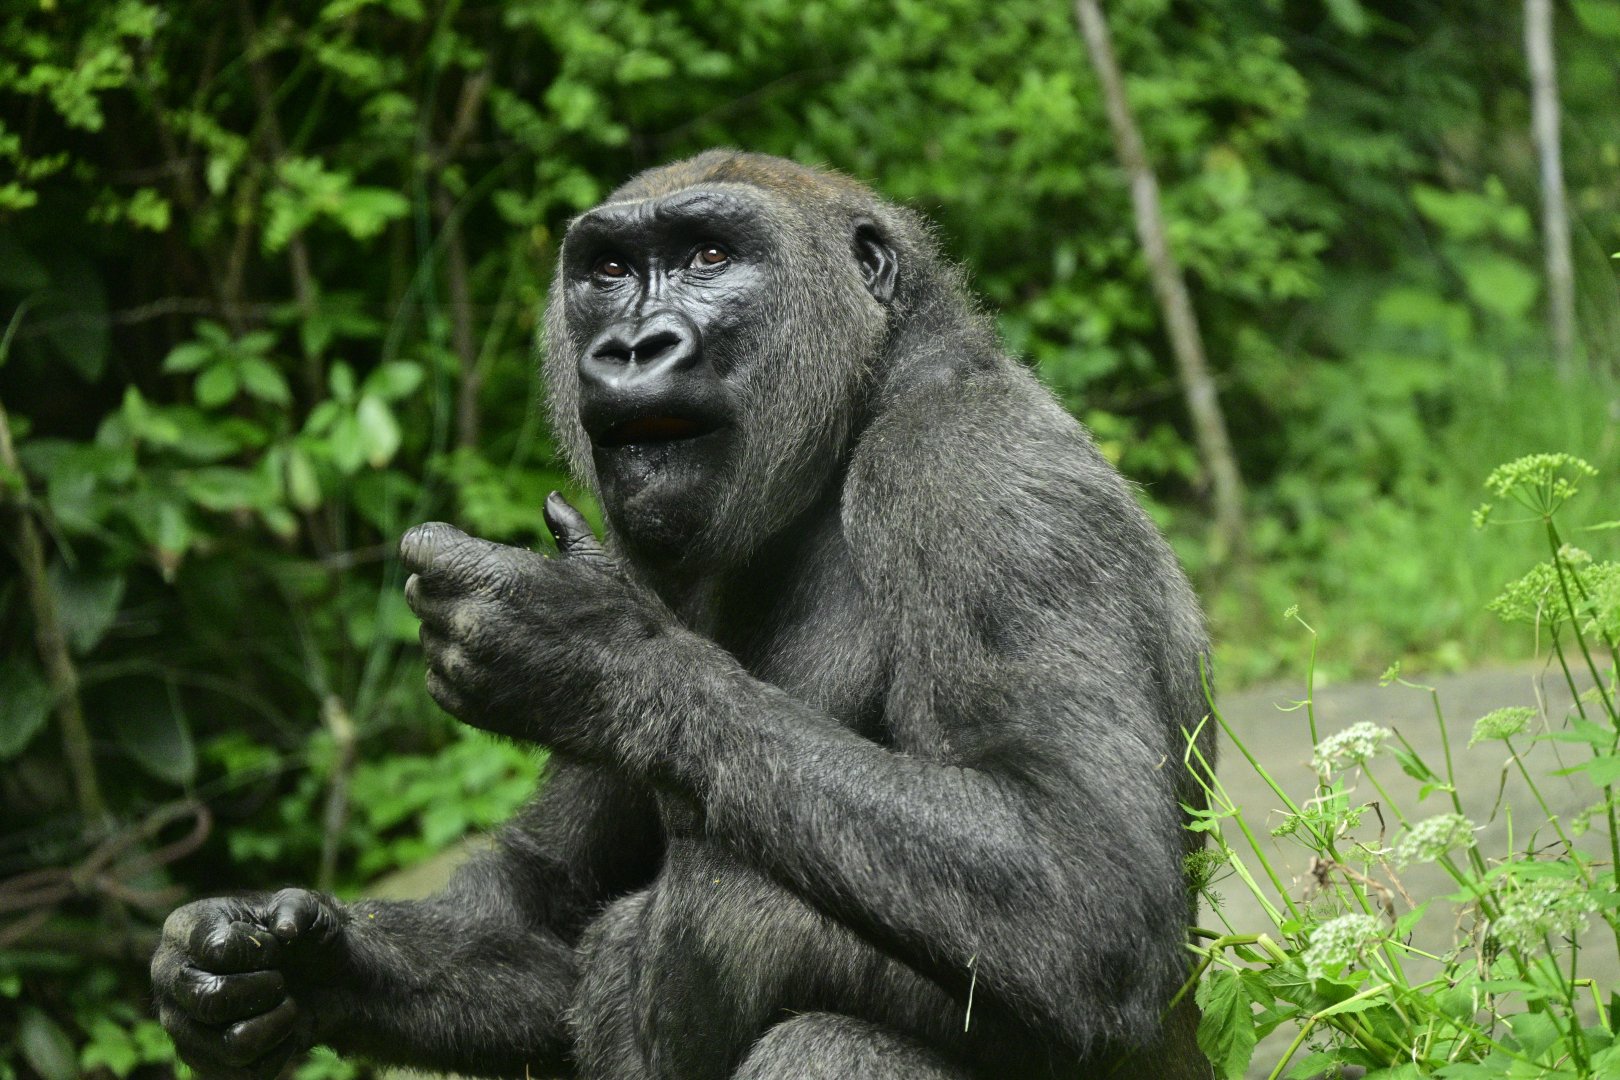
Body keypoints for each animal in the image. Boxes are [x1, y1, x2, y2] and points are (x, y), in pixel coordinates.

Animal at [152, 150, 1215, 1080]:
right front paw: (280, 966)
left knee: (830, 1036)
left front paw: (591, 651)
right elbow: (544, 906)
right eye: (610, 270)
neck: (856, 415)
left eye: (709, 255)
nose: (630, 346)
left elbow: (1079, 886)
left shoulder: (975, 468)